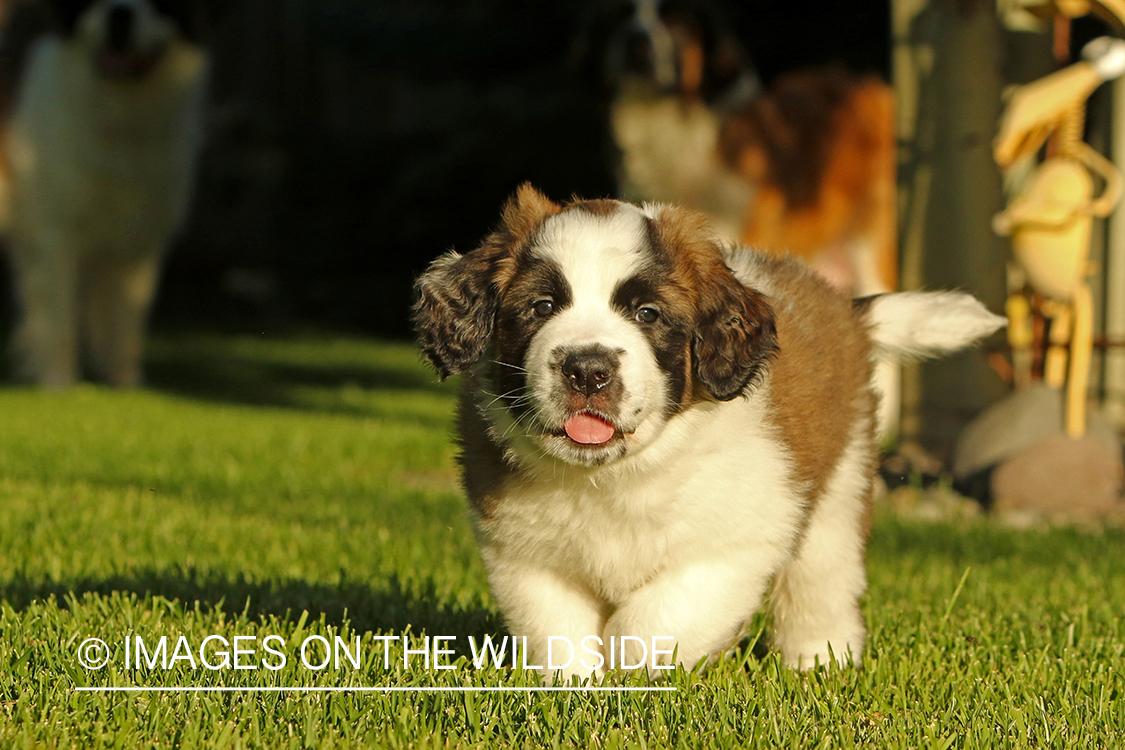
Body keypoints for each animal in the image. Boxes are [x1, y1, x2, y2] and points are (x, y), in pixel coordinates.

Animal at [0, 0, 211, 386]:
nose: (120, 13)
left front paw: (126, 385)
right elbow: (60, 319)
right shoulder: (55, 233)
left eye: (161, 3)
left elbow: (125, 322)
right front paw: (60, 384)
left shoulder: (139, 240)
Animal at [414, 186, 1003, 679]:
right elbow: (555, 628)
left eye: (647, 314)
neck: (616, 476)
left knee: (821, 581)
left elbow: (652, 621)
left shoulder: (734, 545)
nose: (587, 370)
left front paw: (629, 664)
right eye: (541, 307)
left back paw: (820, 661)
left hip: (842, 484)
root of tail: (843, 309)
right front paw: (575, 688)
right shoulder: (525, 554)